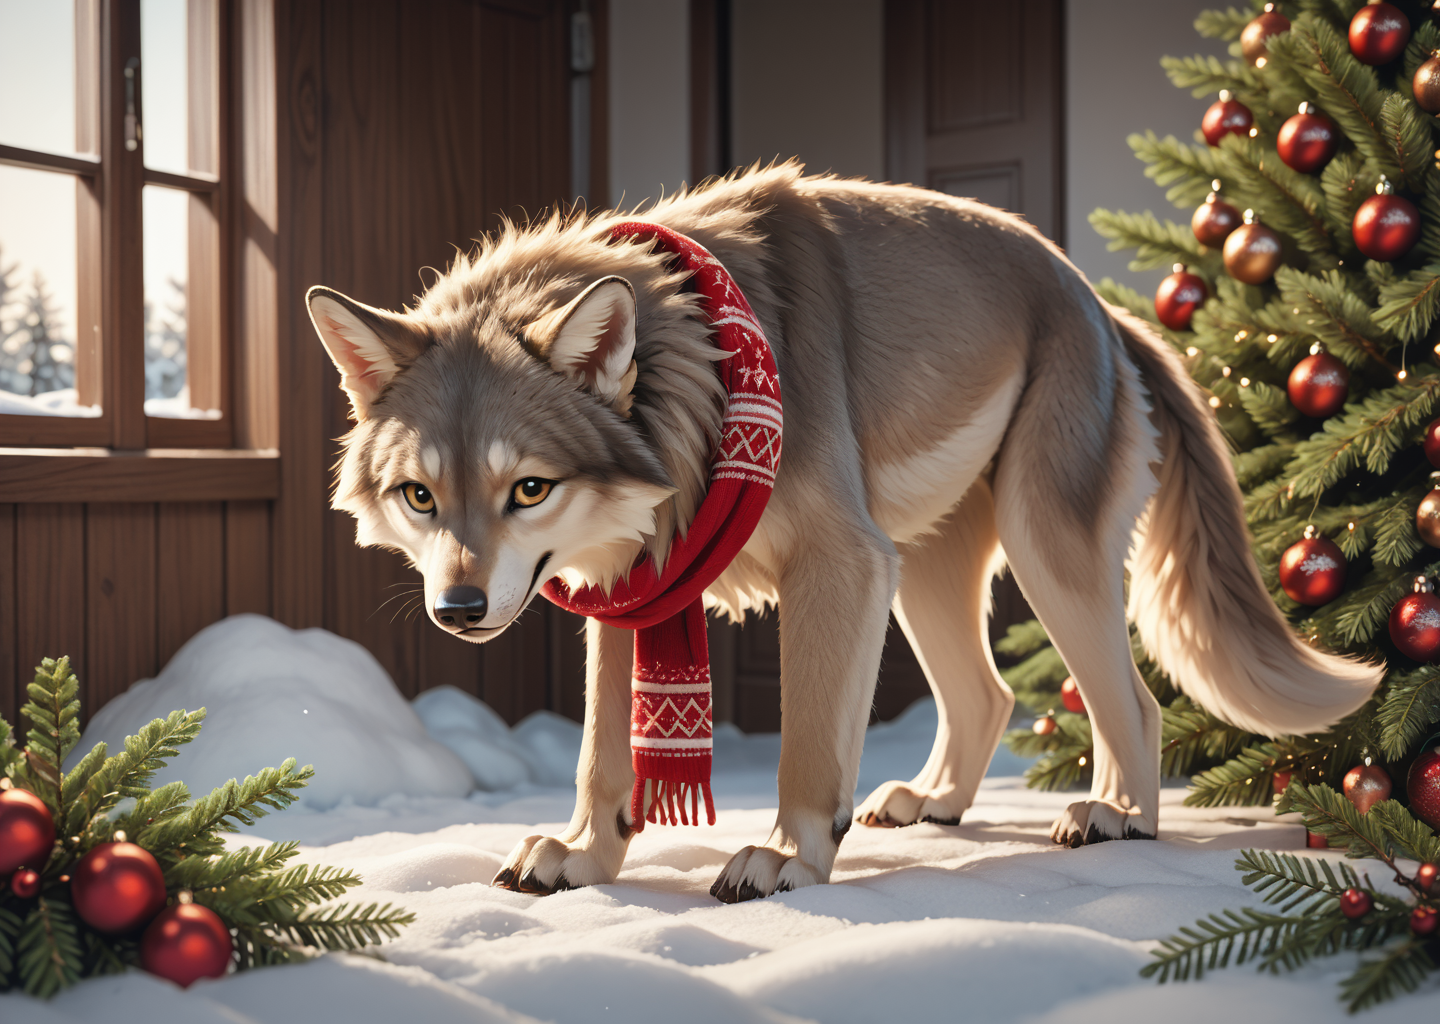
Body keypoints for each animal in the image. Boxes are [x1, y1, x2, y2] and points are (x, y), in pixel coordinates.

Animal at [306, 164, 1381, 903]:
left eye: (527, 488)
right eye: (420, 497)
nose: (459, 610)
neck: (703, 379)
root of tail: (1104, 307)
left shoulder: (836, 565)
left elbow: (810, 744)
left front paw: (785, 856)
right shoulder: (632, 591)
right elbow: (604, 754)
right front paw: (581, 857)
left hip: (1038, 552)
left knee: (1138, 707)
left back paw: (1117, 817)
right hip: (924, 576)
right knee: (989, 695)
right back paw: (937, 802)